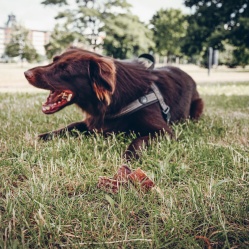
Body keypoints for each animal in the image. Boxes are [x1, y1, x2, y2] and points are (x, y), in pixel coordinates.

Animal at [23, 48, 203, 160]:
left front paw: (128, 158)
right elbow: (68, 127)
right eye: (54, 60)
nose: (26, 73)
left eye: (65, 70)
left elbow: (137, 141)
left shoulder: (165, 132)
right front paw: (41, 137)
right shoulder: (93, 122)